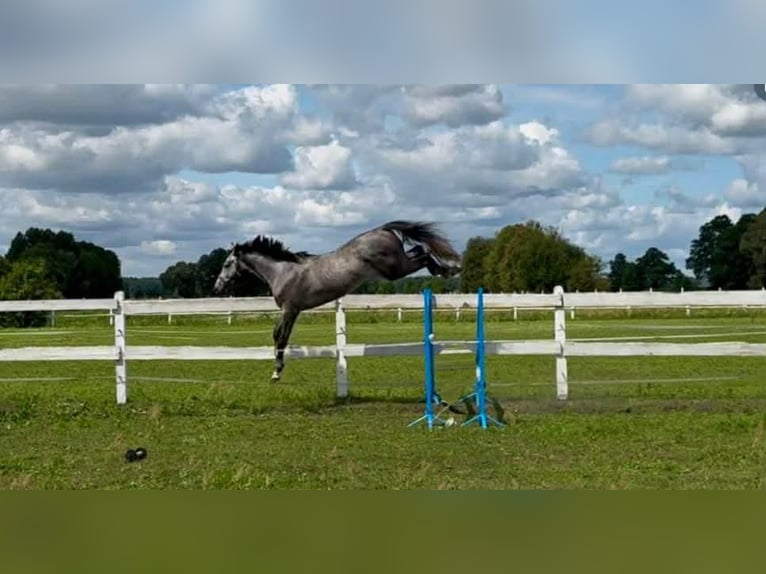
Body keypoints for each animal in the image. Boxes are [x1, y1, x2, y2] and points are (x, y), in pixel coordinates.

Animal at [213, 220, 462, 381]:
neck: (282, 271)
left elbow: (280, 337)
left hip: (394, 269)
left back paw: (448, 269)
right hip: (397, 264)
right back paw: (445, 269)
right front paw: (277, 369)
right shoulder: (291, 311)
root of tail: (381, 229)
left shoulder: (290, 309)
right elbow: (279, 336)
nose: (217, 287)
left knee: (423, 252)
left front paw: (276, 371)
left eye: (226, 264)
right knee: (420, 250)